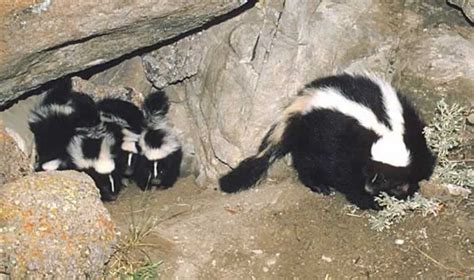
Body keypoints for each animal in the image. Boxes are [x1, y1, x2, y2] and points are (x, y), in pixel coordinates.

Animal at [217, 73, 436, 209]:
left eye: (385, 178)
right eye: (372, 174)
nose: (369, 188)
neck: (386, 129)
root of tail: (303, 100)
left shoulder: (413, 134)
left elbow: (421, 164)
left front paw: (408, 188)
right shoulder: (345, 143)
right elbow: (344, 174)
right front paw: (368, 200)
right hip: (314, 135)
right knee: (306, 162)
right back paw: (318, 186)